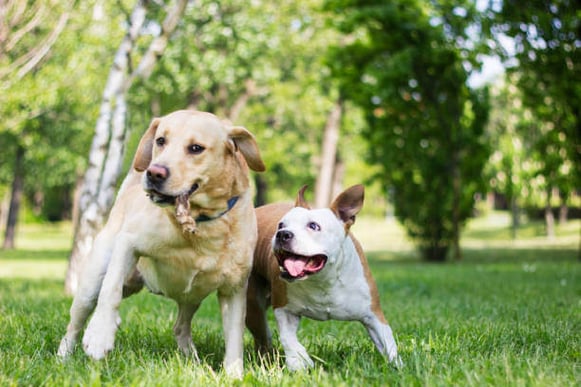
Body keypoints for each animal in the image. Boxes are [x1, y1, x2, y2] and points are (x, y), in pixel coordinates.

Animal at [57, 110, 264, 378]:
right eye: (161, 140)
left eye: (196, 148)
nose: (154, 172)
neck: (200, 223)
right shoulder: (129, 243)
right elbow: (110, 291)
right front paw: (100, 335)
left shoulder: (234, 288)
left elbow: (235, 337)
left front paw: (234, 376)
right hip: (91, 284)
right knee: (75, 321)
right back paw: (63, 356)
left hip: (192, 296)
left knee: (180, 326)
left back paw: (191, 360)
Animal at [245, 186, 398, 372]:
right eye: (280, 225)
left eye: (313, 226)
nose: (283, 234)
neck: (322, 280)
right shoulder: (284, 309)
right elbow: (288, 338)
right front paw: (299, 360)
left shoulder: (374, 316)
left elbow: (389, 344)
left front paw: (398, 367)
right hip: (253, 307)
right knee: (263, 336)